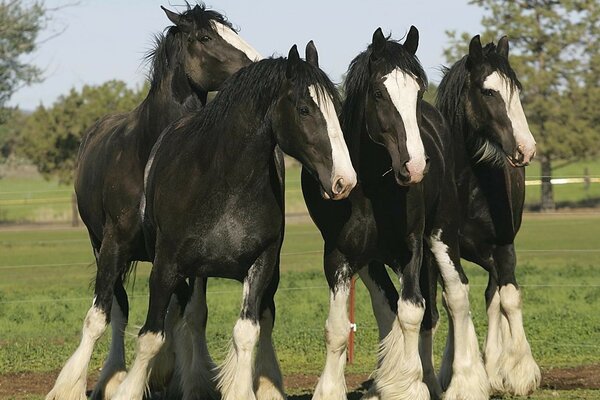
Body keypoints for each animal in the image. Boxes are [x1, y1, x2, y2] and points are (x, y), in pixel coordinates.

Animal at [47, 5, 260, 400]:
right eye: (205, 36)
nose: (258, 66)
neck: (151, 153)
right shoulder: (114, 246)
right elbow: (99, 316)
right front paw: (69, 385)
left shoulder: (183, 256)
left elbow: (189, 315)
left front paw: (189, 378)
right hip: (100, 245)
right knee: (118, 307)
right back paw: (114, 375)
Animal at [109, 44, 356, 400]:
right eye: (304, 109)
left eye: (336, 109)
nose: (344, 181)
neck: (223, 184)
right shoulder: (166, 266)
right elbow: (152, 335)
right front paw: (129, 389)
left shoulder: (261, 264)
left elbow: (247, 331)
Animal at [302, 28, 490, 400]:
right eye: (378, 93)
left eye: (417, 89)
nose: (415, 165)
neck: (371, 187)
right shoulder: (340, 255)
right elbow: (339, 327)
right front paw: (333, 389)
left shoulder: (411, 246)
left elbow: (412, 311)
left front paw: (409, 385)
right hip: (373, 260)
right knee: (392, 306)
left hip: (441, 236)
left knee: (455, 296)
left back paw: (463, 382)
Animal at [434, 35, 540, 396]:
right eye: (488, 92)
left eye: (516, 90)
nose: (526, 149)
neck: (467, 183)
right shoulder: (443, 250)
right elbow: (453, 301)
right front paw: (458, 377)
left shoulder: (504, 246)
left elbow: (509, 298)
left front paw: (520, 371)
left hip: (491, 254)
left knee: (494, 296)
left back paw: (495, 370)